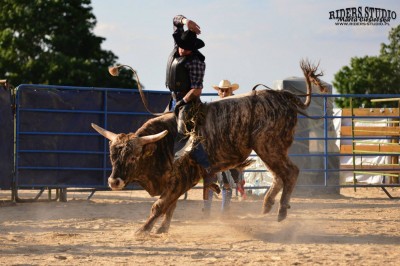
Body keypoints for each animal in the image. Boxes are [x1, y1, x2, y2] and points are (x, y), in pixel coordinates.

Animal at [90, 59, 324, 234]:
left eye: (133, 157)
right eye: (112, 156)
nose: (113, 181)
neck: (163, 145)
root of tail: (283, 97)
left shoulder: (181, 179)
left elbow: (160, 205)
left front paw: (142, 230)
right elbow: (170, 206)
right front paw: (162, 229)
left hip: (269, 145)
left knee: (290, 172)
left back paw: (281, 210)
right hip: (268, 149)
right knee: (278, 175)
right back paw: (267, 205)